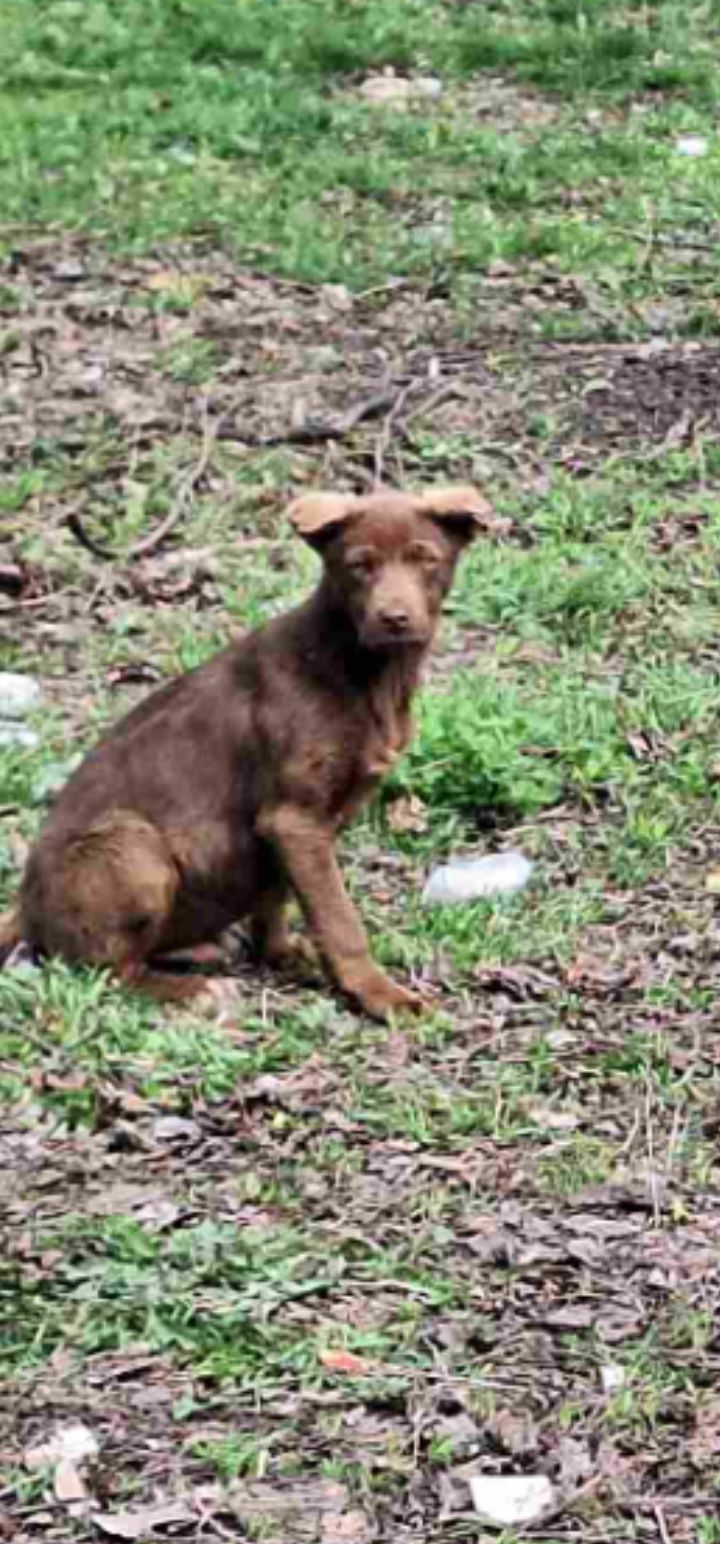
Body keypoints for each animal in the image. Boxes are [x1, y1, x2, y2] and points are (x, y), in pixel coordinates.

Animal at [0, 481, 488, 1012]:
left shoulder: (293, 829)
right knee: (107, 970)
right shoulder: (294, 818)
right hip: (131, 846)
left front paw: (283, 956)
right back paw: (192, 989)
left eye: (426, 560)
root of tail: (24, 910)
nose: (394, 618)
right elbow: (338, 919)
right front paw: (379, 994)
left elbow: (278, 897)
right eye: (360, 566)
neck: (361, 667)